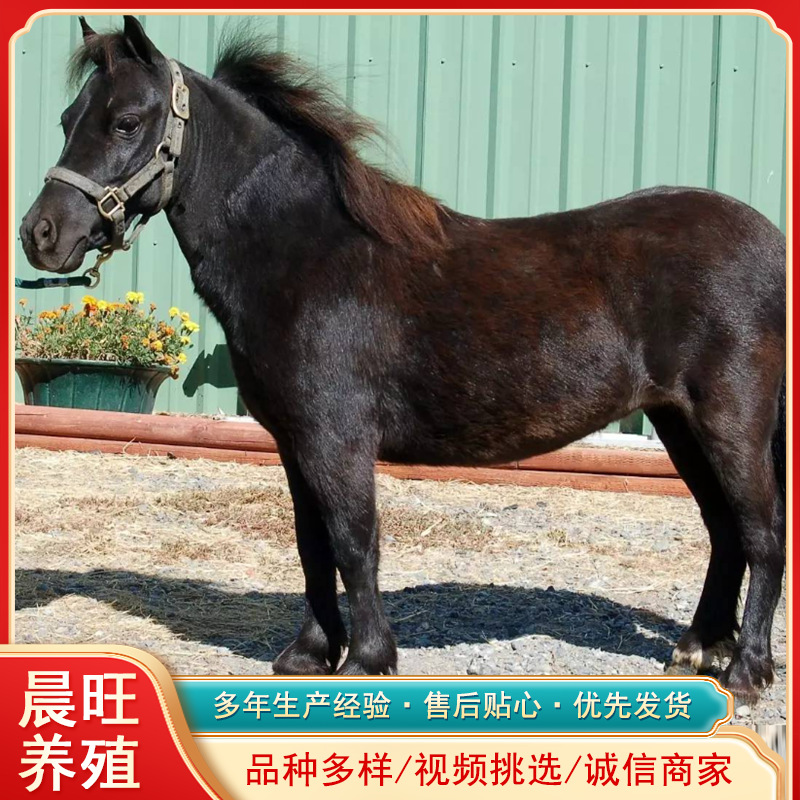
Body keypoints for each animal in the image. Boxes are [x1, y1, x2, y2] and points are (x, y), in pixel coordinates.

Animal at [20, 17, 785, 702]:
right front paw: (309, 654)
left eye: (127, 122)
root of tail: (771, 241)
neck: (304, 253)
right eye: (66, 118)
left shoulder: (337, 440)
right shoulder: (295, 443)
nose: (41, 234)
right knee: (725, 533)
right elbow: (312, 545)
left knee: (762, 534)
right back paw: (697, 650)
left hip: (730, 421)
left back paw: (747, 672)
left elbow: (355, 544)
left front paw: (367, 660)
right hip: (680, 423)